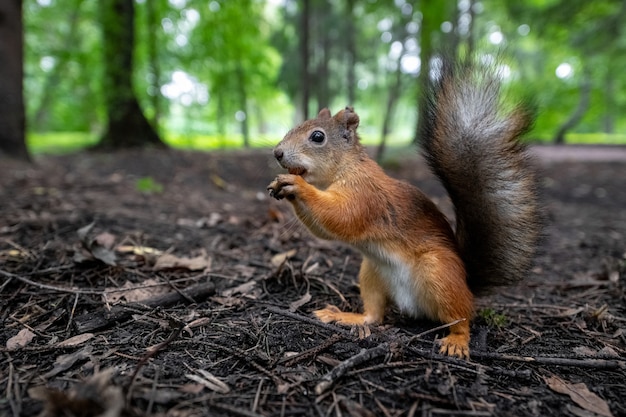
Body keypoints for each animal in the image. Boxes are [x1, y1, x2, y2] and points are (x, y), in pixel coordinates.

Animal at [266, 58, 540, 358]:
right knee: (375, 315)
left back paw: (457, 340)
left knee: (462, 316)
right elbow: (325, 229)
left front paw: (298, 186)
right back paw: (348, 317)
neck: (342, 170)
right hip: (372, 272)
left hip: (440, 272)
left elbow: (342, 218)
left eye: (317, 137)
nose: (277, 153)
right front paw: (282, 186)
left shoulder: (365, 195)